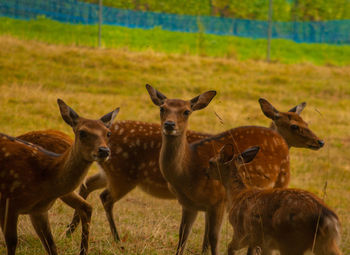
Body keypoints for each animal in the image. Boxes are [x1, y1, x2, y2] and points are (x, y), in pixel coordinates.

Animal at [0, 99, 119, 255]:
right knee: (86, 206)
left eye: (108, 133)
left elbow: (17, 243)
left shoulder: (12, 203)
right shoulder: (24, 208)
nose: (104, 150)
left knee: (86, 206)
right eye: (82, 132)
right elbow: (49, 245)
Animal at [208, 143, 342, 255]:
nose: (206, 172)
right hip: (324, 243)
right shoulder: (261, 242)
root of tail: (327, 217)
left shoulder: (241, 231)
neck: (237, 194)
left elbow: (230, 247)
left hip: (292, 241)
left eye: (211, 162)